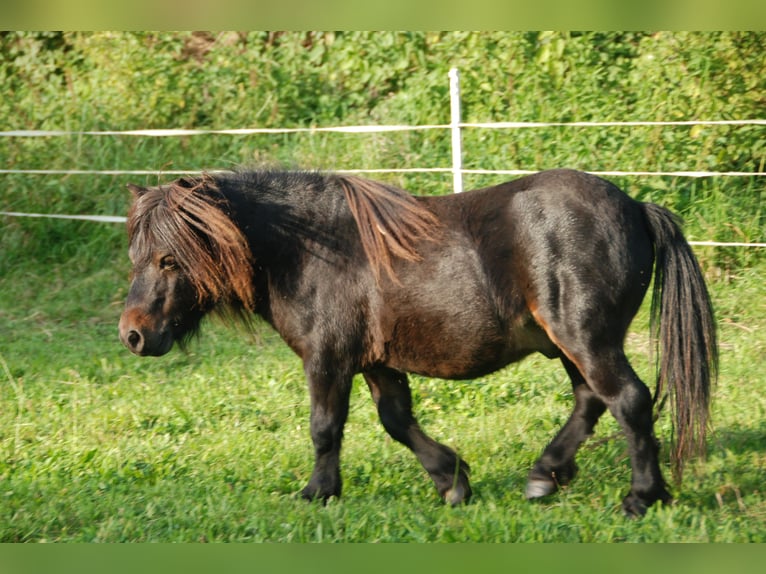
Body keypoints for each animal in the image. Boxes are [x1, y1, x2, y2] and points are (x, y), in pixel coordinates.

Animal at [118, 168, 717, 516]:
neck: (309, 249)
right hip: (573, 344)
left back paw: (640, 497)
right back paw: (545, 476)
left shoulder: (328, 358)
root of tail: (636, 207)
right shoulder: (376, 361)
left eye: (169, 258)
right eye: (136, 256)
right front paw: (451, 479)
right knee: (592, 401)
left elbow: (324, 428)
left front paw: (318, 492)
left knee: (630, 401)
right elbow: (397, 422)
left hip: (587, 338)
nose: (133, 334)